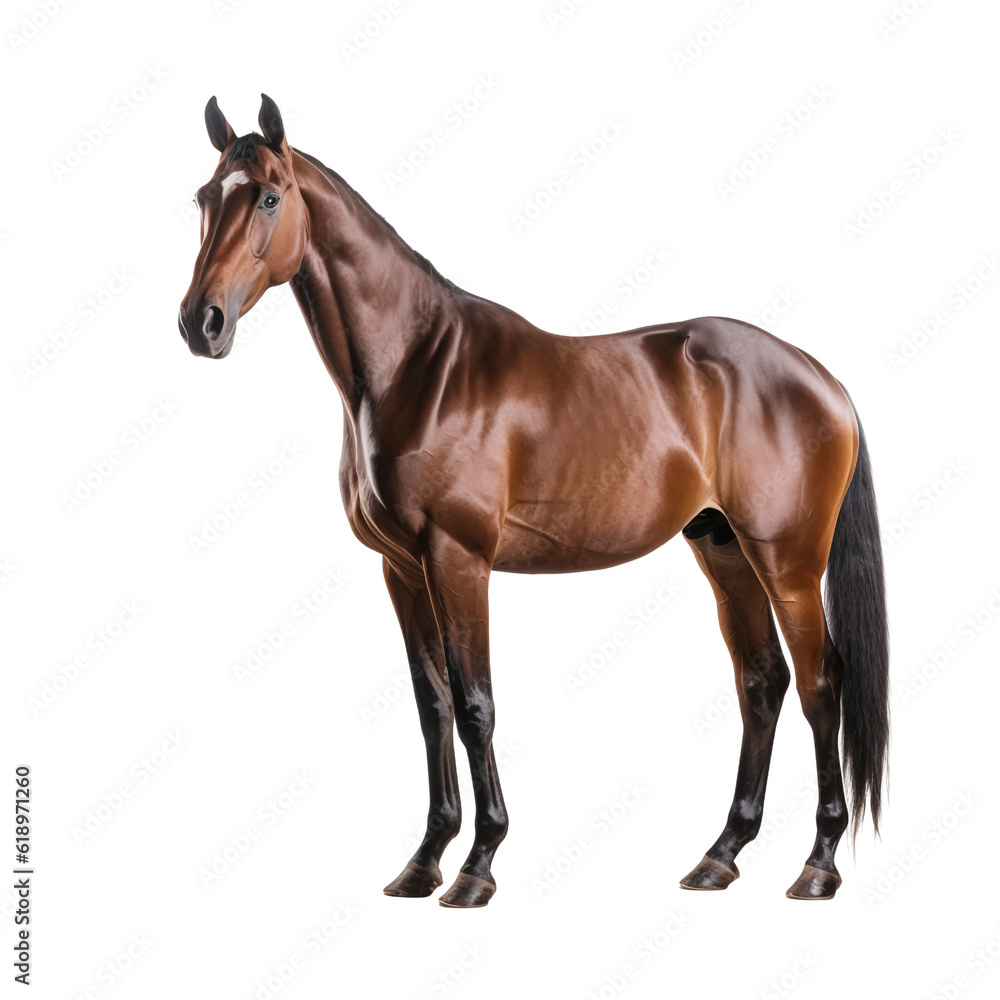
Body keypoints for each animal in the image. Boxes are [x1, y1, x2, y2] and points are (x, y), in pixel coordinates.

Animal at [178, 94, 889, 907]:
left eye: (268, 196)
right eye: (204, 198)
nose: (201, 323)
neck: (415, 366)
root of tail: (820, 376)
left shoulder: (458, 559)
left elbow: (476, 705)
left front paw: (478, 865)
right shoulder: (401, 568)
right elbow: (432, 707)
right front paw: (424, 860)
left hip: (788, 562)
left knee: (821, 685)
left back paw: (819, 864)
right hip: (724, 549)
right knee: (762, 682)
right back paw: (720, 855)